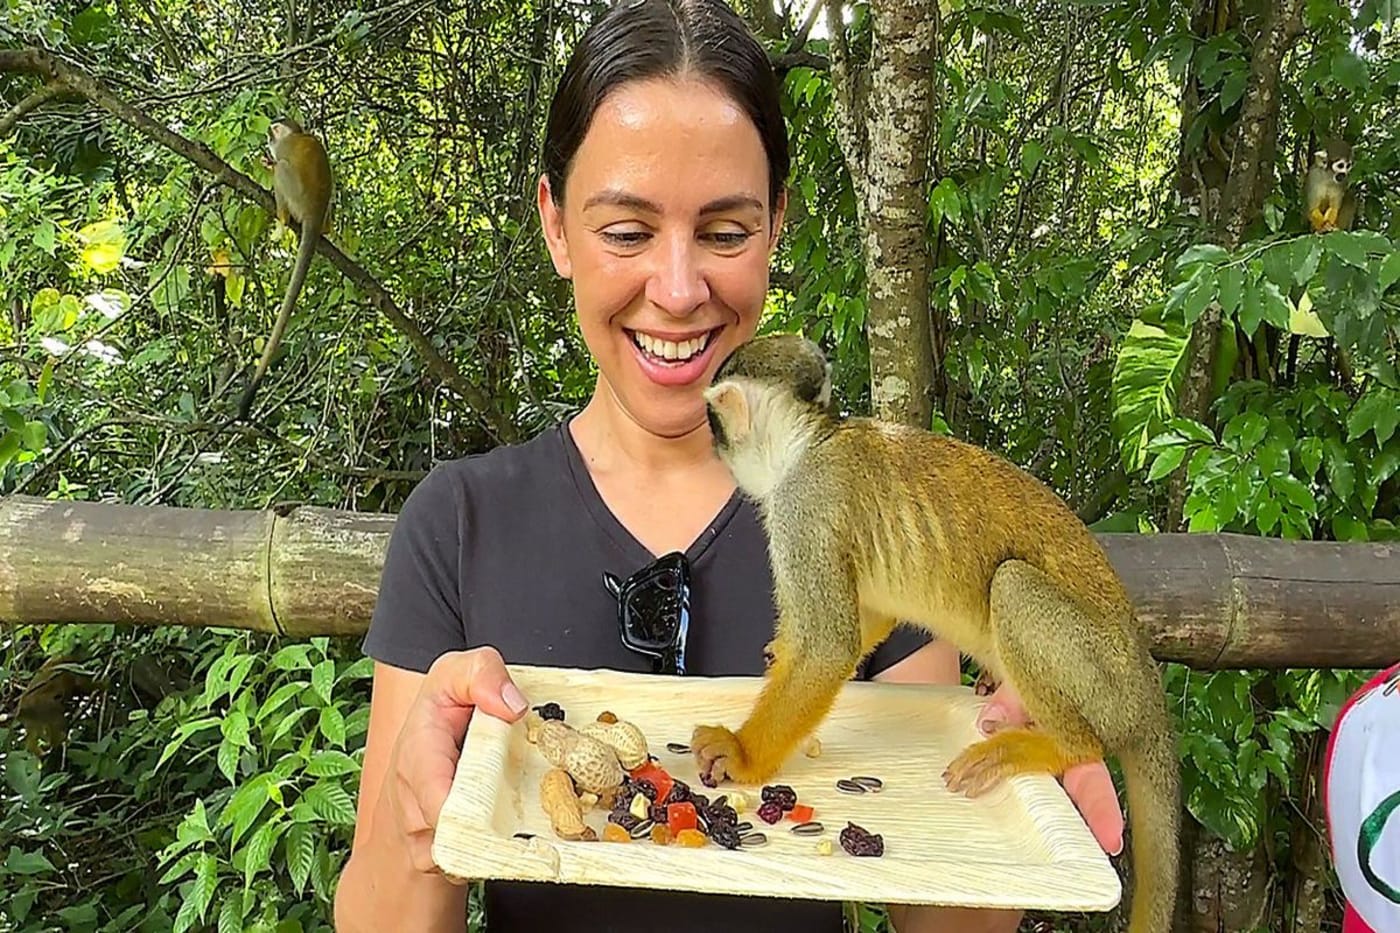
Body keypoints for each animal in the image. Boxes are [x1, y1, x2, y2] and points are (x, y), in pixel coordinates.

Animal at [237, 117, 334, 421]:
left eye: (272, 131)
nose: (267, 137)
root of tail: (314, 214)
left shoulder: (284, 147)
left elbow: (278, 161)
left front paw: (266, 162)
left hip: (297, 195)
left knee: (282, 170)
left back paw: (281, 218)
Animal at [689, 334, 1180, 933]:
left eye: (715, 423)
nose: (712, 447)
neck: (812, 441)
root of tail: (1147, 689)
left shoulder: (802, 507)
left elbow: (830, 643)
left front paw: (740, 754)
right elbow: (867, 615)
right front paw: (780, 652)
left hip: (1106, 676)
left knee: (1013, 587)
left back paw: (1063, 745)